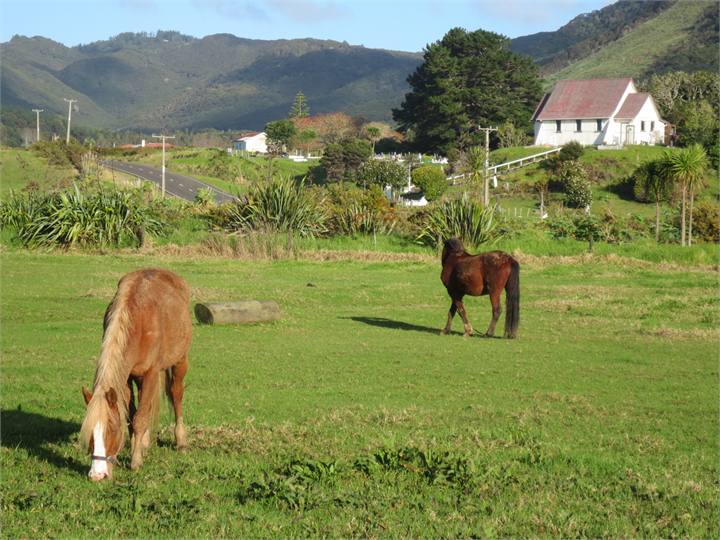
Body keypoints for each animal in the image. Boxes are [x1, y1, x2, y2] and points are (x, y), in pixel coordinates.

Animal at [80, 268, 192, 481]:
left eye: (111, 429)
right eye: (90, 433)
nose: (97, 475)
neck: (137, 323)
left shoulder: (151, 373)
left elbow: (140, 418)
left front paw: (135, 461)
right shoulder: (126, 378)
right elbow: (133, 417)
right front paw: (136, 448)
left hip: (180, 360)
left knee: (176, 394)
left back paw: (181, 440)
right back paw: (145, 442)